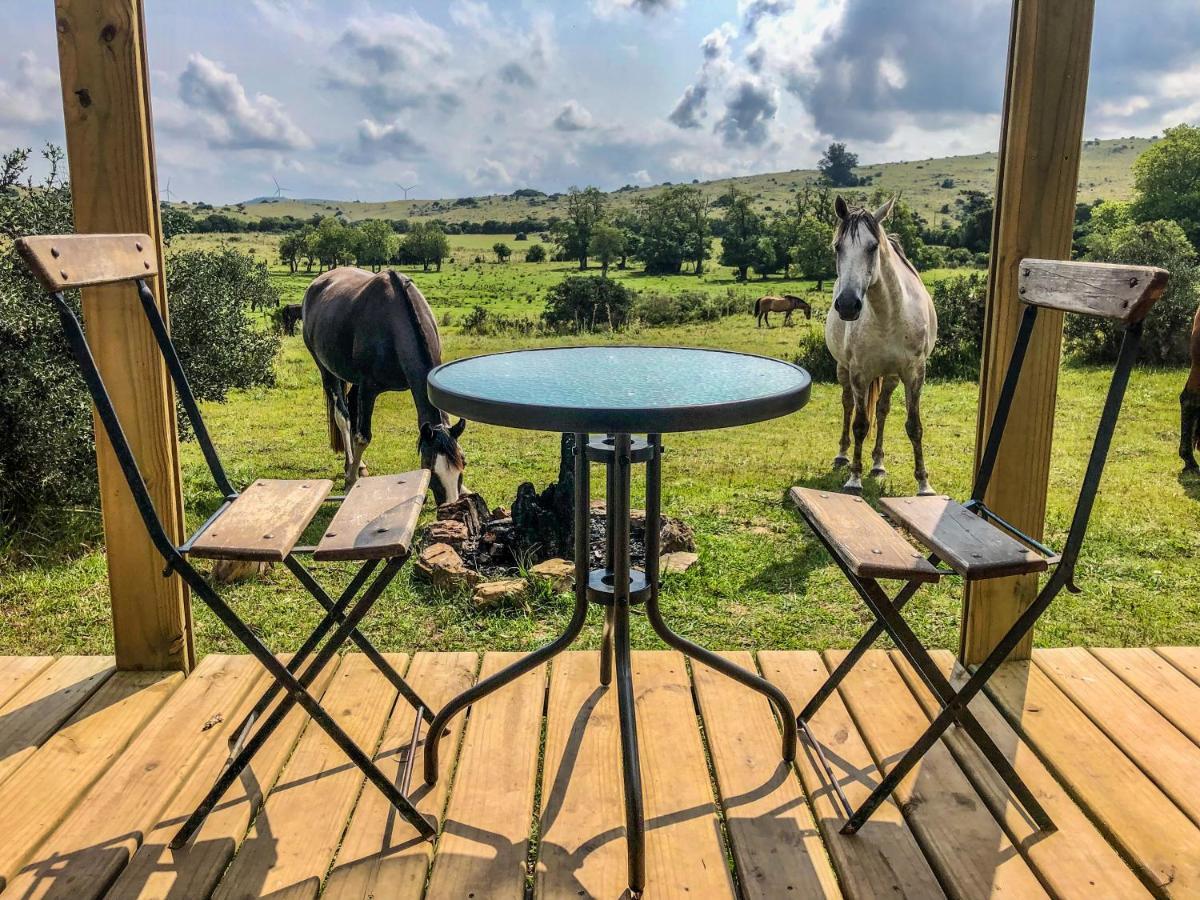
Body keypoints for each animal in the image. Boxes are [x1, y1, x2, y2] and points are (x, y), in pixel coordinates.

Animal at [302, 267, 465, 508]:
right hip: (327, 371)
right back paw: (351, 467)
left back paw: (357, 465)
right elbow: (363, 437)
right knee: (343, 417)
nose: (452, 507)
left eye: (463, 464)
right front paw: (350, 483)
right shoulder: (368, 388)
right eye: (430, 470)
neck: (394, 325)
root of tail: (317, 284)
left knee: (351, 409)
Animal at [825, 194, 936, 496]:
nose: (848, 305)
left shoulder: (914, 372)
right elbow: (860, 424)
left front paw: (924, 483)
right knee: (848, 405)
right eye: (838, 247)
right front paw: (854, 478)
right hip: (844, 370)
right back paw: (842, 456)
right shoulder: (859, 372)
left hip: (890, 376)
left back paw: (878, 464)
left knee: (883, 410)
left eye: (872, 246)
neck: (889, 314)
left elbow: (914, 425)